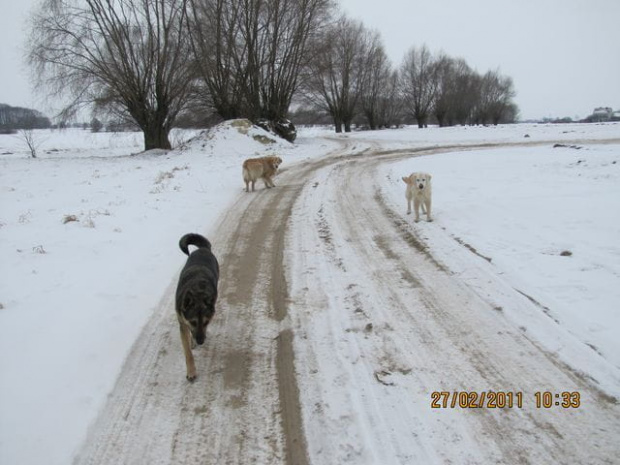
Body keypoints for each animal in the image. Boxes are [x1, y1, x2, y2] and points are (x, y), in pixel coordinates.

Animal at [176, 232, 219, 380]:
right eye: (193, 322)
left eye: (206, 322)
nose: (200, 341)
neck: (198, 292)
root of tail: (203, 249)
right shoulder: (183, 324)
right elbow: (188, 353)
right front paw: (191, 372)